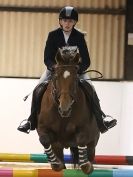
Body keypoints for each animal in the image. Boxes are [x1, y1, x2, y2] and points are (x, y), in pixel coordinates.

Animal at [36, 46, 100, 174]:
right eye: (56, 77)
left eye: (75, 79)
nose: (64, 109)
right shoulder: (44, 129)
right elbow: (44, 140)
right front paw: (55, 163)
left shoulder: (85, 131)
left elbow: (82, 140)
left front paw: (86, 165)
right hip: (58, 146)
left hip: (93, 143)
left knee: (90, 152)